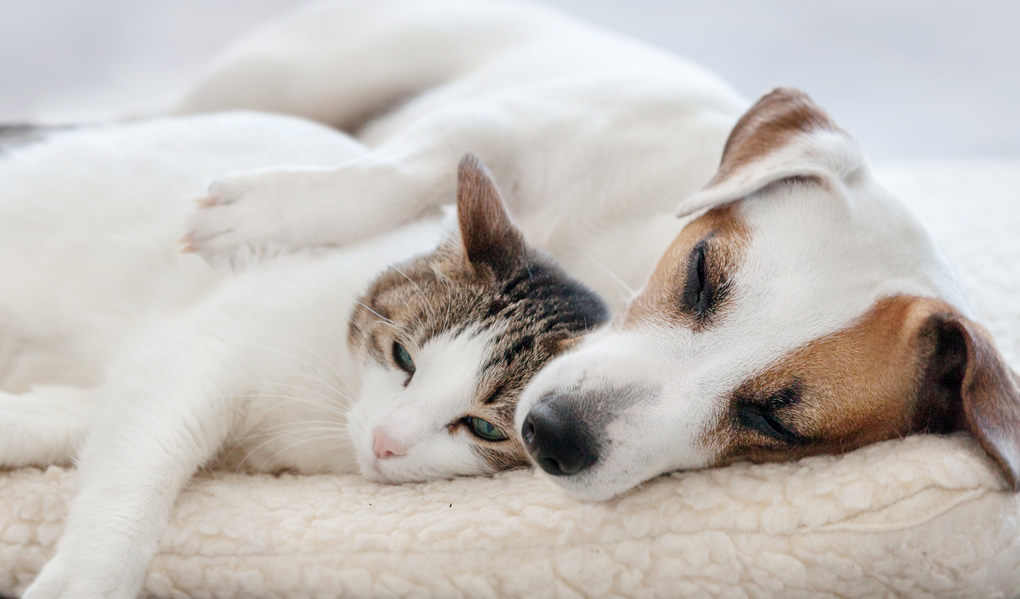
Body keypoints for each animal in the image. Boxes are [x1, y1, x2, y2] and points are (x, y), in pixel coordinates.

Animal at [179, 0, 1015, 502]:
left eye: (777, 424)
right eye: (702, 272)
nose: (552, 434)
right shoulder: (517, 127)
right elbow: (402, 171)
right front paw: (263, 213)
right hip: (307, 72)